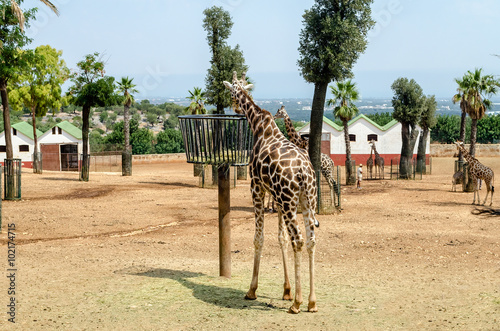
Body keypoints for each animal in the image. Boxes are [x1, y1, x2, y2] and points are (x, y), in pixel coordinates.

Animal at [225, 72, 318, 314]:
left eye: (231, 92)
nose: (234, 107)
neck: (258, 125)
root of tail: (304, 172)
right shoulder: (276, 197)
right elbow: (281, 238)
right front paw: (286, 290)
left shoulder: (256, 187)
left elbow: (259, 238)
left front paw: (252, 290)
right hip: (305, 201)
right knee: (311, 240)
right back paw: (312, 302)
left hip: (289, 200)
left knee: (299, 240)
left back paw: (297, 303)